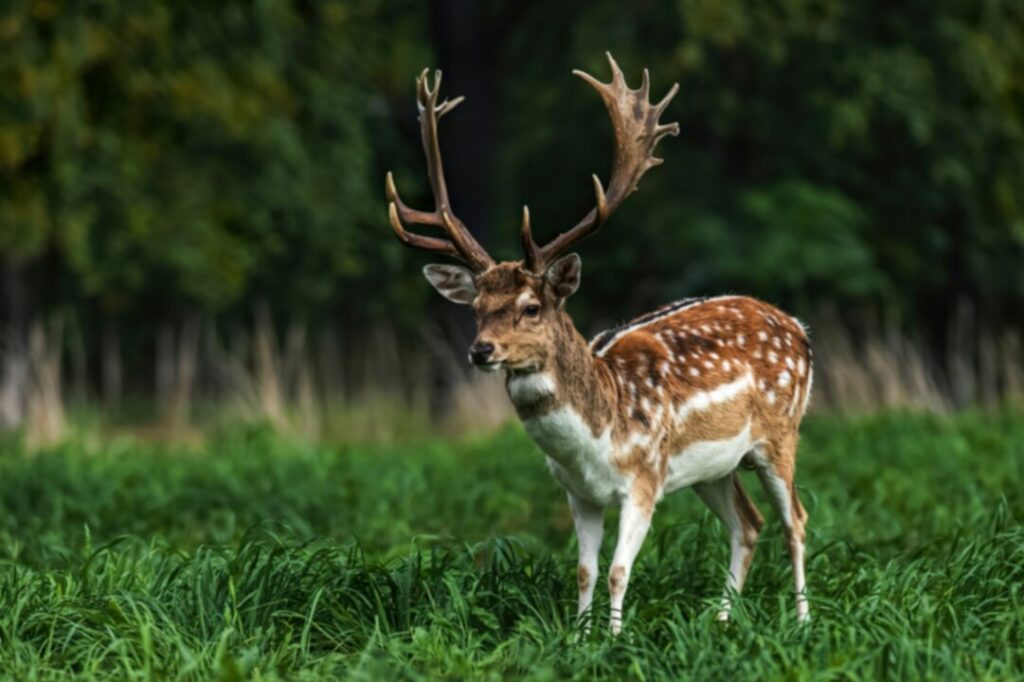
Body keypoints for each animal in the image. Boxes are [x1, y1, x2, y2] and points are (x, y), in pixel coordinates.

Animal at [385, 53, 813, 633]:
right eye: (476, 309)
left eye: (531, 307)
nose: (481, 351)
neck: (598, 439)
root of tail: (799, 328)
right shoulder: (577, 492)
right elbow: (585, 571)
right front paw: (578, 636)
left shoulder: (644, 480)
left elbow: (616, 570)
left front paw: (614, 638)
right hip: (714, 467)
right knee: (749, 523)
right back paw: (723, 621)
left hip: (779, 434)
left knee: (796, 519)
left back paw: (803, 621)